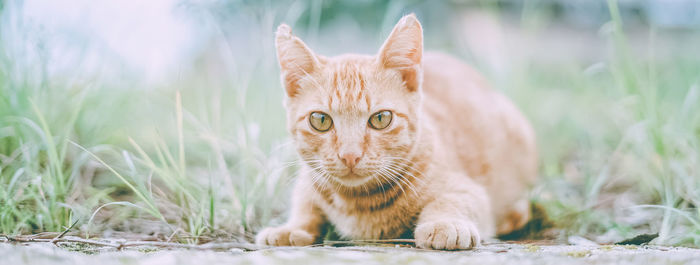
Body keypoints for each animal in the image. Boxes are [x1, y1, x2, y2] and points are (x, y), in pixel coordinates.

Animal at [256, 13, 536, 250]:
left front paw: (445, 224)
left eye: (381, 119)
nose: (350, 155)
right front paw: (291, 228)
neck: (356, 203)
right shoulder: (308, 180)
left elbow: (452, 199)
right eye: (320, 120)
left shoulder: (467, 188)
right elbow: (305, 207)